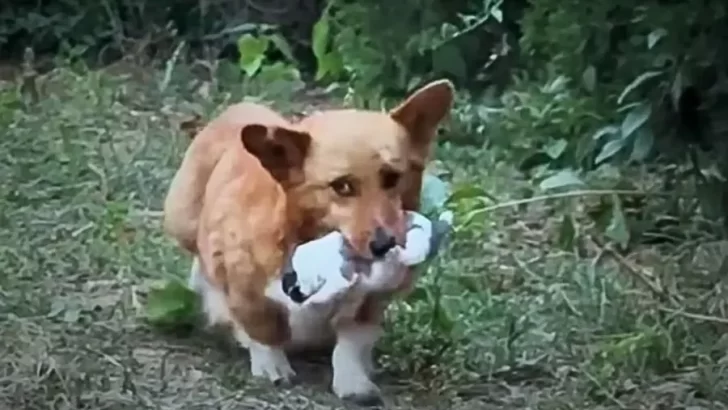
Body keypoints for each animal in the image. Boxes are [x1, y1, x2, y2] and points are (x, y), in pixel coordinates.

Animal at [162, 79, 452, 404]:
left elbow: (352, 342)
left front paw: (354, 381)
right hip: (181, 220)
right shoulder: (245, 287)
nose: (385, 245)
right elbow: (263, 329)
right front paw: (272, 366)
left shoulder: (371, 302)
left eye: (392, 178)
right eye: (342, 186)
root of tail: (235, 110)